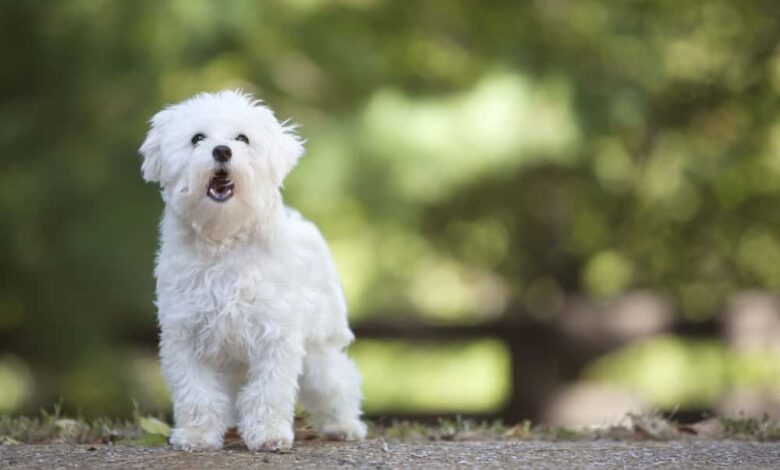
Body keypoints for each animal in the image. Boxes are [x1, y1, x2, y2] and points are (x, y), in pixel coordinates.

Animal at [139, 89, 366, 452]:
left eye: (242, 138)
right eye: (197, 138)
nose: (221, 150)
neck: (225, 239)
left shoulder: (275, 334)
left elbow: (269, 391)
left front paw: (269, 434)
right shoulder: (186, 333)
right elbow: (196, 393)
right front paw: (197, 436)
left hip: (319, 346)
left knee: (336, 382)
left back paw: (344, 426)